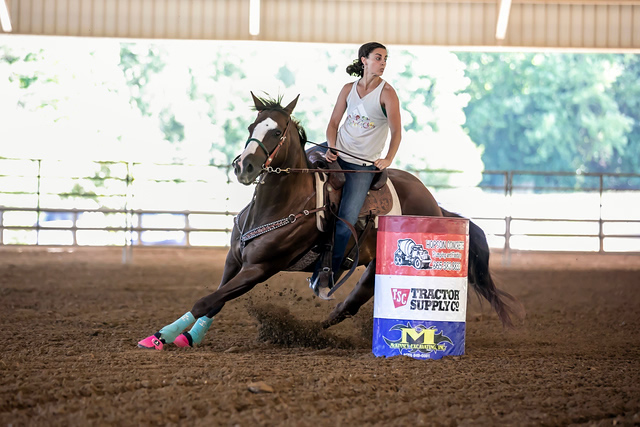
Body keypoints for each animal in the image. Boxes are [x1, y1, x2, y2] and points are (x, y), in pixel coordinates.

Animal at [138, 93, 524, 352]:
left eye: (277, 132)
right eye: (251, 126)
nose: (244, 167)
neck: (281, 203)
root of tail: (435, 204)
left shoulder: (261, 267)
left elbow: (207, 300)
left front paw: (162, 336)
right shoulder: (235, 260)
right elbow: (215, 299)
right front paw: (180, 335)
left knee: (352, 301)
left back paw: (310, 334)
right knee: (348, 304)